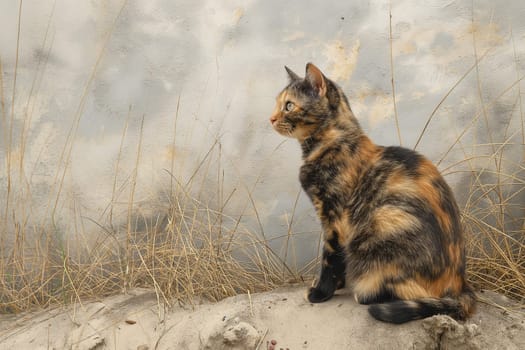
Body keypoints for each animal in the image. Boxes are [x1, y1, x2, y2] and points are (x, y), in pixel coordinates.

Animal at [268, 62, 476, 322]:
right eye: (278, 104)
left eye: (288, 105)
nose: (270, 118)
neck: (332, 141)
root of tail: (461, 284)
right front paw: (337, 286)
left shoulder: (335, 220)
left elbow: (330, 259)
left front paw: (321, 292)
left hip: (387, 222)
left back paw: (367, 294)